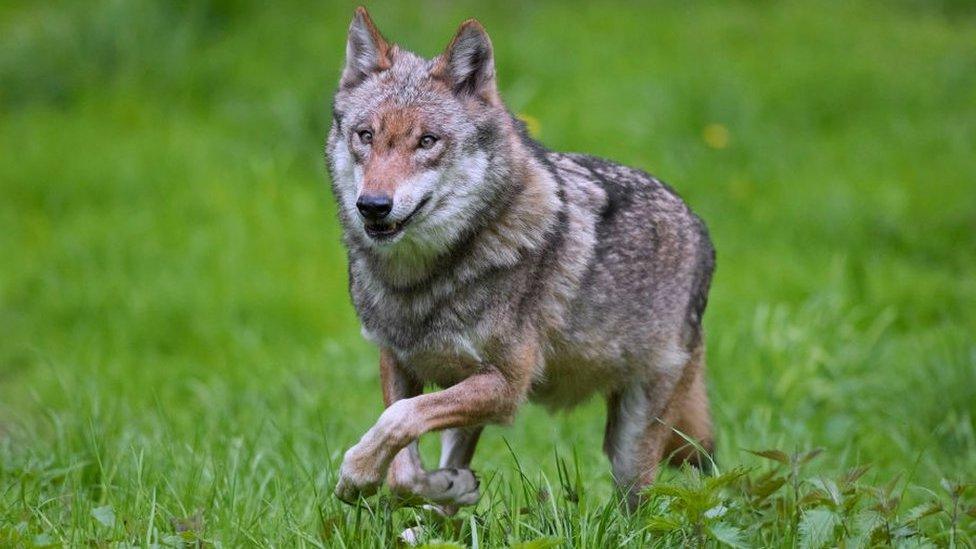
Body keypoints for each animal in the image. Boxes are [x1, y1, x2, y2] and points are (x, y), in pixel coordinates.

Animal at [324, 6, 712, 510]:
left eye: (427, 141)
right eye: (365, 136)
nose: (372, 205)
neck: (422, 280)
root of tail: (699, 226)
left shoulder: (506, 385)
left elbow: (398, 419)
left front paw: (355, 473)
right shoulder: (399, 362)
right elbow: (404, 467)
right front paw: (441, 486)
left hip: (631, 449)